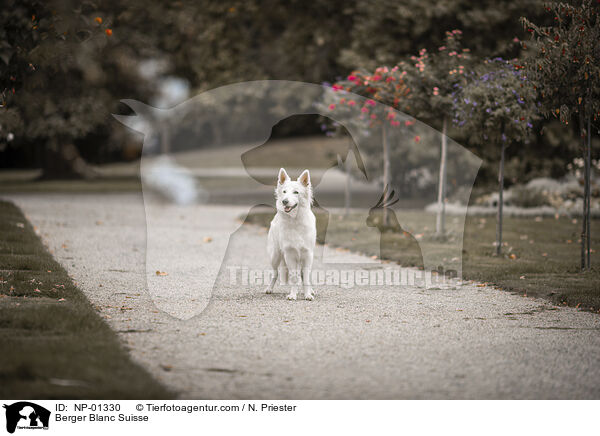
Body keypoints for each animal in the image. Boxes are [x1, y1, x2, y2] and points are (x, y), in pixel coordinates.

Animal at [264, 167, 316, 300]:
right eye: (284, 192)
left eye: (296, 192)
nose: (284, 201)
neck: (295, 221)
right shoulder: (290, 255)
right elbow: (293, 278)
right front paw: (293, 295)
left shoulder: (308, 255)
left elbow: (306, 278)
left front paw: (308, 294)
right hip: (275, 256)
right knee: (275, 273)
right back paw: (269, 288)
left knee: (304, 275)